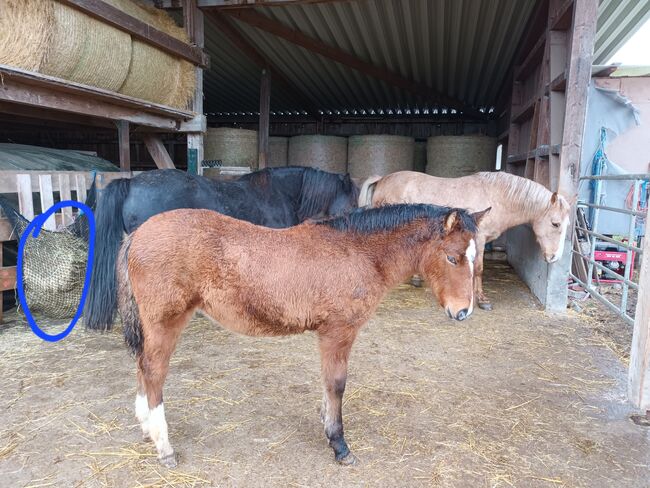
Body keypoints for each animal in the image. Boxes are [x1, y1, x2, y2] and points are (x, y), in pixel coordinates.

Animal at [117, 204, 486, 468]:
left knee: (142, 366)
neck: (358, 251)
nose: (463, 311)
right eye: (452, 257)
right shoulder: (338, 331)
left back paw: (146, 428)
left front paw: (326, 425)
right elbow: (337, 384)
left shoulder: (327, 334)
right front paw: (340, 445)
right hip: (166, 322)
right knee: (153, 372)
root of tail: (138, 233)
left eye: (475, 257)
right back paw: (164, 447)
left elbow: (326, 383)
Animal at [360, 172, 572, 308]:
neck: (496, 197)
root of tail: (382, 179)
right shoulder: (479, 238)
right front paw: (482, 299)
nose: (554, 257)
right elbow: (478, 268)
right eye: (555, 224)